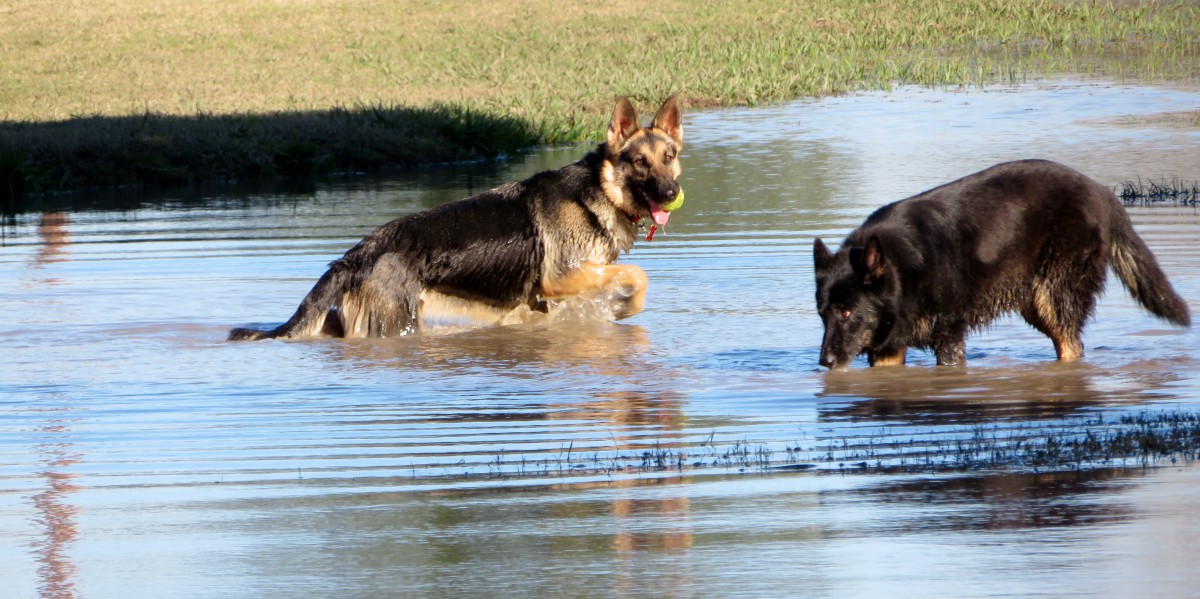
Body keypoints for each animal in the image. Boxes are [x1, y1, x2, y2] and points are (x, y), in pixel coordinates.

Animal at [228, 97, 686, 343]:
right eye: (640, 163)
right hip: (396, 326)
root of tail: (359, 252)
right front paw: (625, 309)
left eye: (670, 157)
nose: (670, 194)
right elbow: (639, 274)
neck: (598, 190)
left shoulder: (546, 299)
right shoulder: (560, 278)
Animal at [816, 158, 1190, 369]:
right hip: (1037, 305)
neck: (902, 267)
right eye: (823, 315)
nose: (825, 363)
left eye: (846, 313)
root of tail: (1101, 192)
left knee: (1073, 346)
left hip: (1054, 298)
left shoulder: (948, 337)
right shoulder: (890, 346)